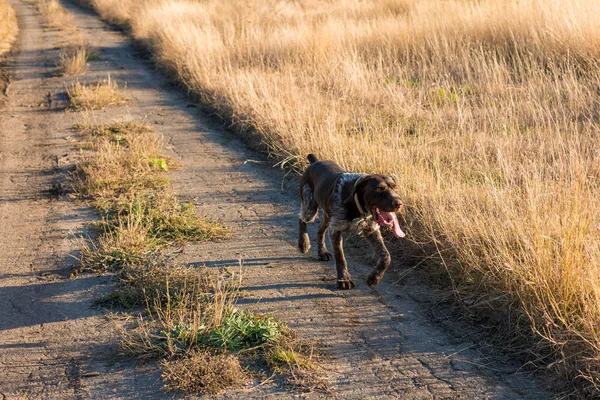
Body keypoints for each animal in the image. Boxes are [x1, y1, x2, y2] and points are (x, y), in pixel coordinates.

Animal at [298, 153, 406, 288]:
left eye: (395, 188)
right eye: (379, 189)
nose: (399, 203)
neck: (357, 205)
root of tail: (314, 162)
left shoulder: (371, 231)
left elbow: (386, 256)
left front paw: (374, 278)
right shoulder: (336, 230)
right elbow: (340, 257)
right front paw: (344, 279)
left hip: (327, 215)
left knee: (320, 228)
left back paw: (322, 251)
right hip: (310, 207)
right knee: (301, 218)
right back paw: (303, 242)